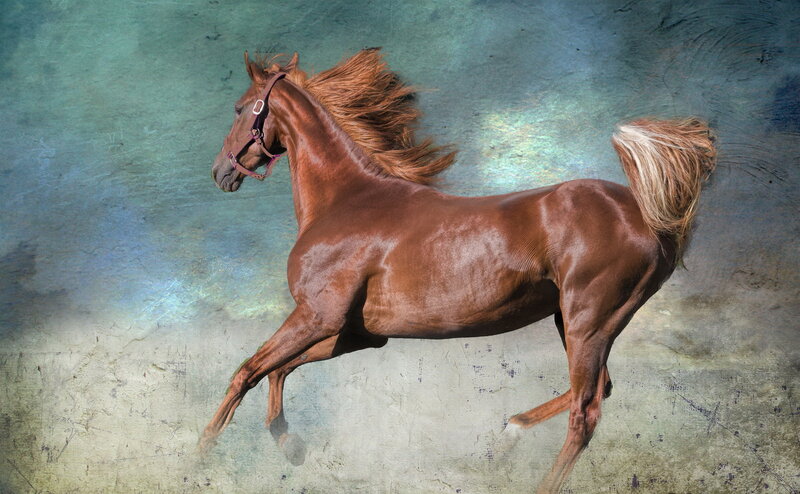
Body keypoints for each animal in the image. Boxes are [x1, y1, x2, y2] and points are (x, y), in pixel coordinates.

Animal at [201, 48, 716, 493]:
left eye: (241, 108)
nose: (219, 173)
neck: (347, 202)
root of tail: (648, 215)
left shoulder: (316, 317)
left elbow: (246, 372)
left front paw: (201, 450)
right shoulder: (356, 334)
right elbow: (276, 371)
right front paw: (290, 446)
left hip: (589, 320)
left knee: (585, 413)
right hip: (577, 321)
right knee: (596, 391)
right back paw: (509, 433)